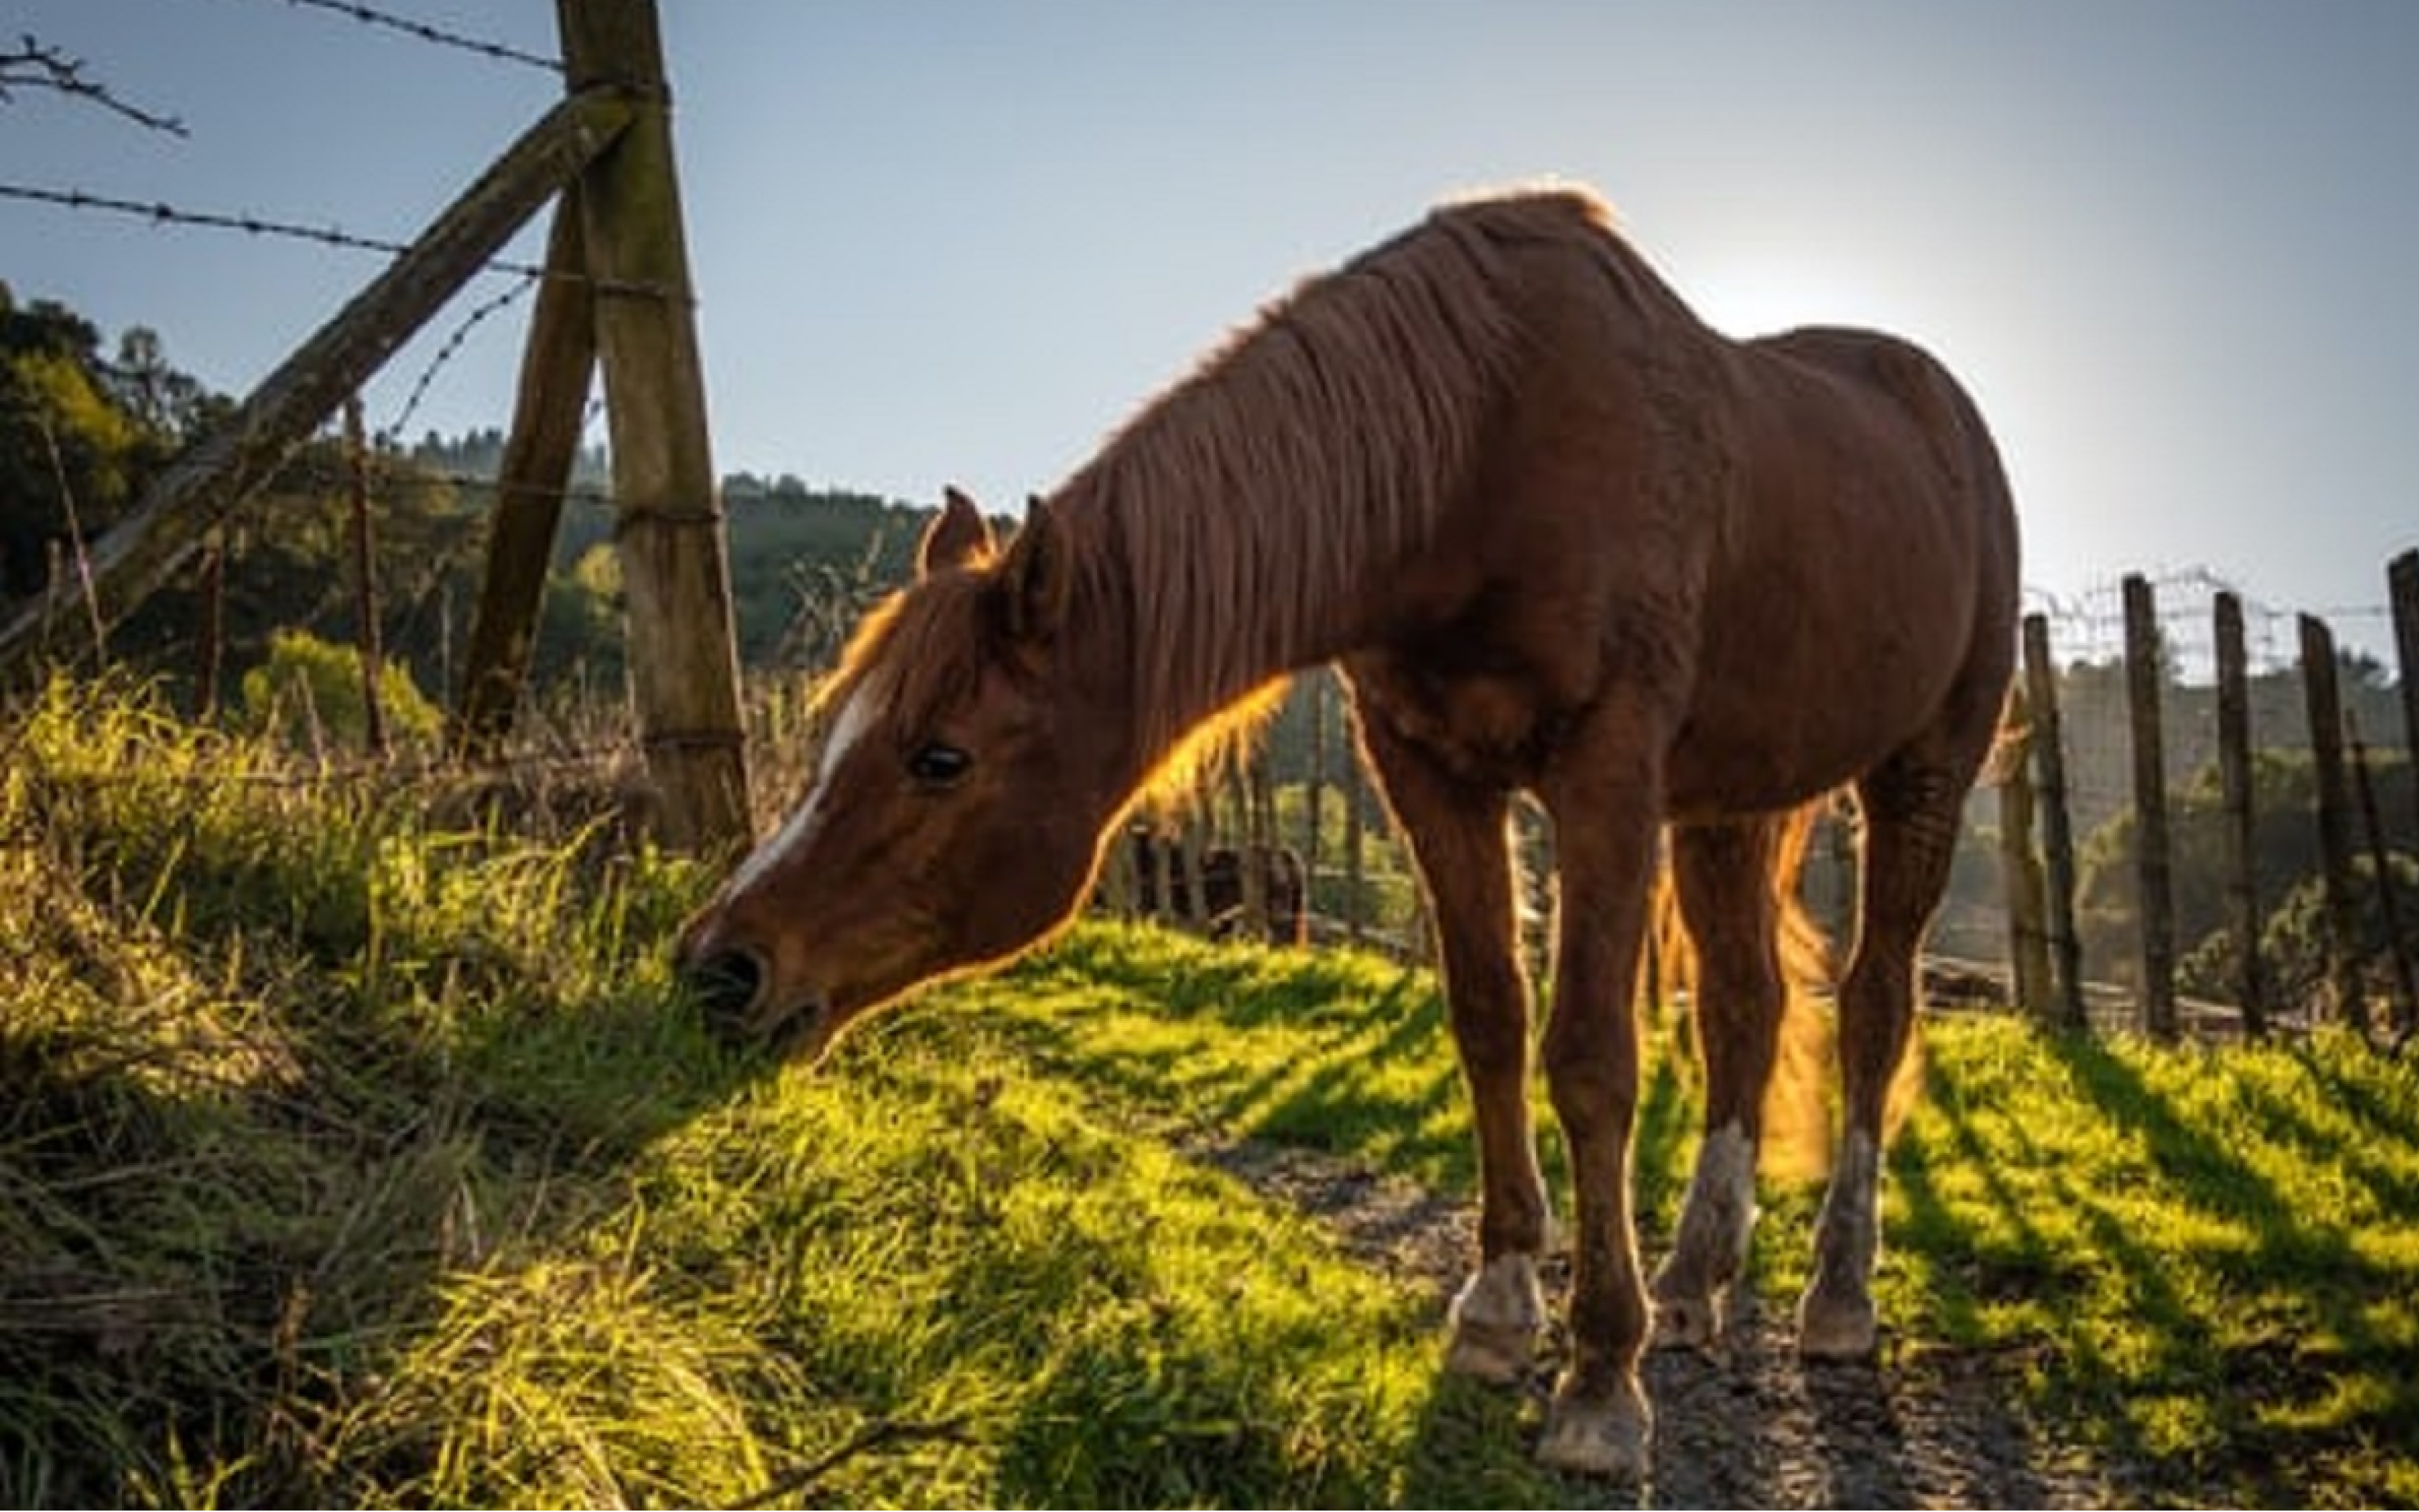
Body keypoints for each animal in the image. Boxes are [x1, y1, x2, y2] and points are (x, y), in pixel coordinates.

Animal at [674, 185, 2020, 1478]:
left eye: (939, 757)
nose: (718, 968)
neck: (1480, 451)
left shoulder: (1605, 772)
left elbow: (1590, 1056)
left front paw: (1597, 1382)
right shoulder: (1427, 770)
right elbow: (1489, 1021)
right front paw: (1497, 1310)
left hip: (1920, 770)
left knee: (1873, 1005)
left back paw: (1835, 1294)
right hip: (1734, 802)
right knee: (1745, 1004)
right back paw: (1693, 1282)